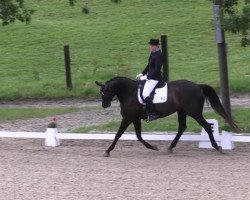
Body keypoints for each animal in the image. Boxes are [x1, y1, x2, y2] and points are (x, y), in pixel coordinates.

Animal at [94, 76, 237, 156]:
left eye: (104, 92)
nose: (104, 105)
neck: (130, 93)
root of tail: (197, 86)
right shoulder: (134, 118)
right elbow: (139, 136)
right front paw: (153, 147)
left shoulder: (128, 118)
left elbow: (118, 135)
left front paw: (107, 151)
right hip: (182, 111)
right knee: (182, 127)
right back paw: (170, 147)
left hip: (194, 113)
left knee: (207, 126)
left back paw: (217, 147)